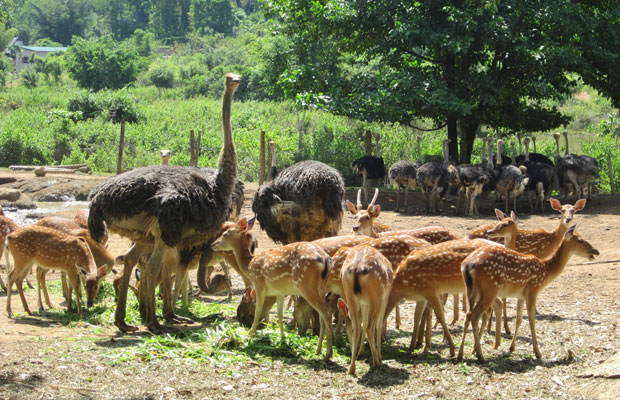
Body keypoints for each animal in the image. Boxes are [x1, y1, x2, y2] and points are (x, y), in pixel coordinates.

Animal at [212, 217, 334, 360]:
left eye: (225, 234)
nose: (213, 244)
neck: (249, 265)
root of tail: (326, 259)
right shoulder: (279, 292)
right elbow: (280, 314)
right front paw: (282, 338)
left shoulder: (259, 285)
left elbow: (258, 310)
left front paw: (250, 333)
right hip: (322, 287)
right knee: (321, 315)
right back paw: (318, 350)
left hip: (306, 285)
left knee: (326, 311)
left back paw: (328, 354)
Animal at [336, 245, 394, 374]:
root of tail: (358, 268)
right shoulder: (385, 297)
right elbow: (379, 325)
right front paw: (379, 357)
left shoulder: (364, 303)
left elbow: (363, 322)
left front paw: (360, 352)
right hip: (377, 296)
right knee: (370, 327)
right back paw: (377, 362)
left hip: (349, 294)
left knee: (357, 326)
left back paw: (351, 368)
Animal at [458, 225, 600, 362]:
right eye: (580, 240)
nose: (596, 251)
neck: (546, 271)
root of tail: (468, 264)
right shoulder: (533, 290)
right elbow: (532, 320)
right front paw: (537, 353)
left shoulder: (521, 295)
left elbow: (519, 319)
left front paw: (512, 348)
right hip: (489, 289)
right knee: (474, 315)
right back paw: (480, 356)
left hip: (471, 290)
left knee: (468, 314)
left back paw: (461, 354)